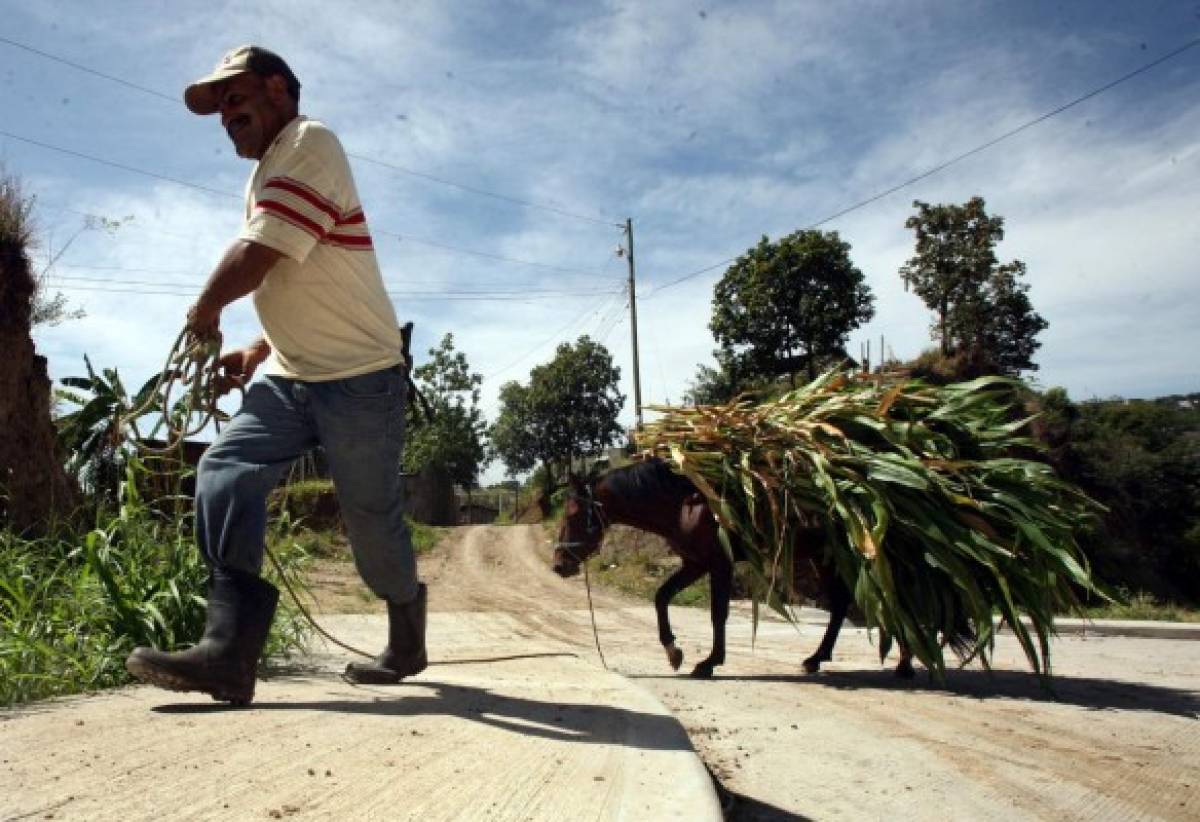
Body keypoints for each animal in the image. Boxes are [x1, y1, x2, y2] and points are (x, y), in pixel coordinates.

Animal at [552, 458, 916, 676]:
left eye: (572, 514)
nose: (558, 564)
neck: (686, 502)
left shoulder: (719, 563)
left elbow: (718, 613)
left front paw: (709, 662)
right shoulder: (695, 563)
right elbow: (661, 597)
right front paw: (673, 651)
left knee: (897, 602)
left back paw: (904, 662)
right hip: (825, 556)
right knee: (844, 605)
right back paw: (818, 658)